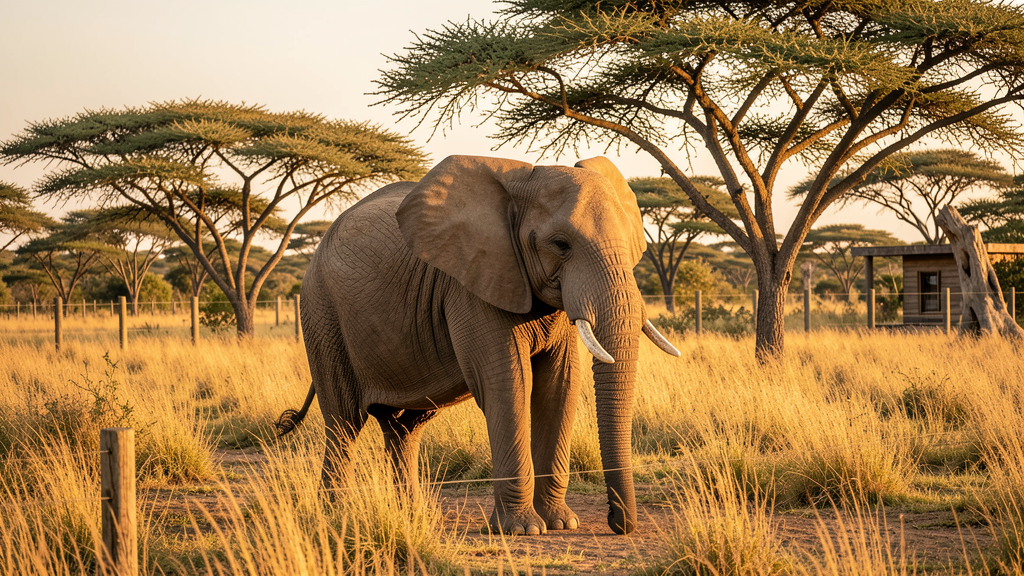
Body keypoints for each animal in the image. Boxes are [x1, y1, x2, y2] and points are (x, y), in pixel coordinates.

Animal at [275, 155, 679, 535]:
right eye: (560, 245)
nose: (617, 522)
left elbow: (559, 386)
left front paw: (562, 524)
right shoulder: (473, 283)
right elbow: (509, 384)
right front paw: (523, 530)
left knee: (404, 427)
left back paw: (413, 516)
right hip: (321, 312)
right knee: (343, 422)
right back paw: (335, 516)